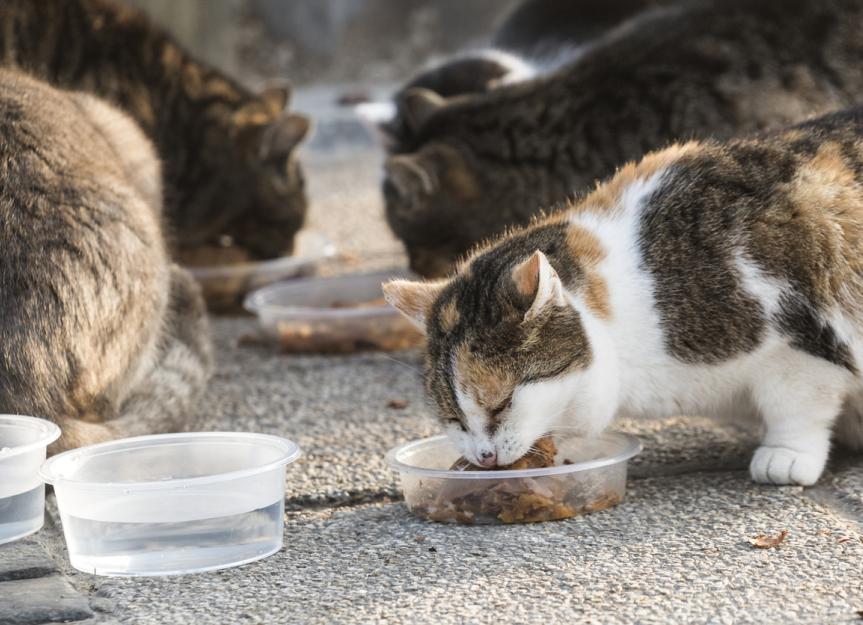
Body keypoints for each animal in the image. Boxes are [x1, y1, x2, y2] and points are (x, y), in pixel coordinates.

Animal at [384, 105, 863, 488]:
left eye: (500, 404)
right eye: (453, 418)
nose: (483, 457)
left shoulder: (795, 341)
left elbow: (797, 404)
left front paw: (787, 455)